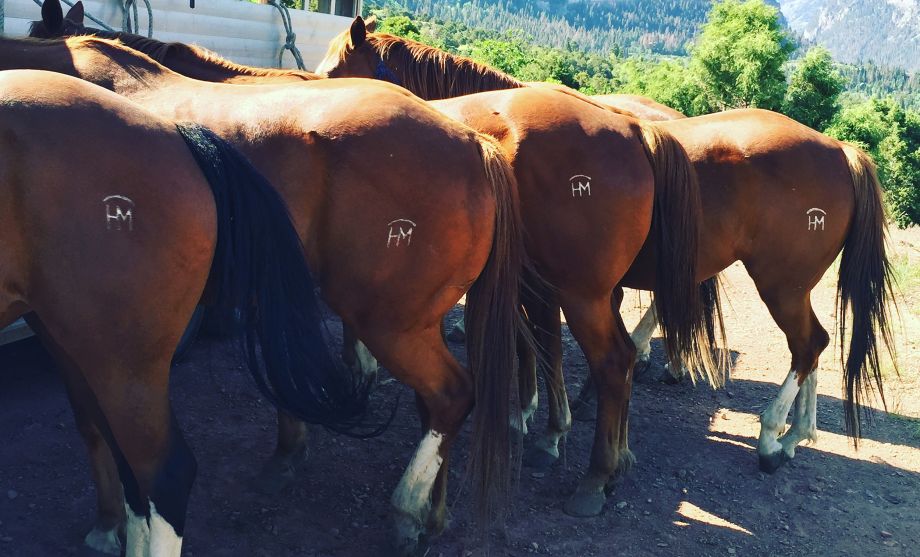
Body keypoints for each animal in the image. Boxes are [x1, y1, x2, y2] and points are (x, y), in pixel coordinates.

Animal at [319, 16, 898, 481]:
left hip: (780, 284)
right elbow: (537, 345)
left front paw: (534, 419)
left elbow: (533, 345)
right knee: (814, 346)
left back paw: (771, 435)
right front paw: (539, 417)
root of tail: (840, 149)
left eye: (334, 71)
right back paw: (796, 434)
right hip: (788, 286)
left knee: (806, 346)